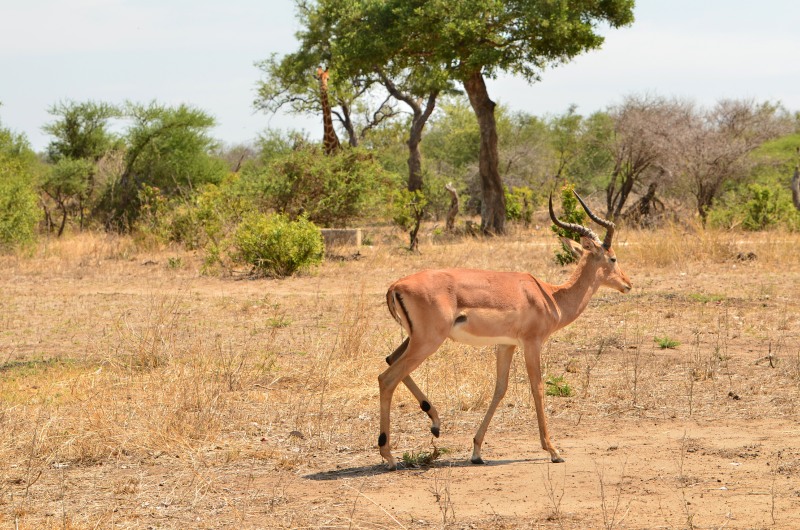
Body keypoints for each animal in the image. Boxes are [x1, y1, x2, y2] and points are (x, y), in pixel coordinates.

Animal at [378, 192, 632, 470]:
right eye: (613, 258)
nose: (628, 284)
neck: (550, 297)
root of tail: (395, 286)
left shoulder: (506, 344)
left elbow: (500, 389)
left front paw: (477, 451)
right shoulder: (531, 343)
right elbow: (537, 387)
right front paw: (553, 450)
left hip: (416, 339)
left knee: (390, 360)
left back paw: (435, 424)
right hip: (428, 341)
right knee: (387, 378)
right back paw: (389, 455)